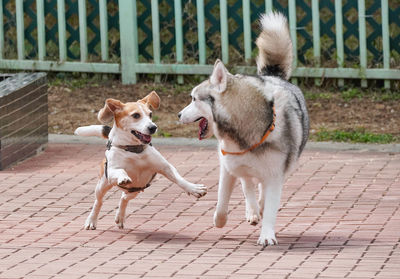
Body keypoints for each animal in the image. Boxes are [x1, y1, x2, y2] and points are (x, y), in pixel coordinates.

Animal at [74, 92, 209, 230]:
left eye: (150, 114)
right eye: (136, 115)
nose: (153, 127)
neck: (134, 150)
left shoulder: (165, 167)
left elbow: (179, 180)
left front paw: (194, 189)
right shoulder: (112, 171)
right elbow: (120, 171)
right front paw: (123, 177)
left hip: (136, 189)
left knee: (124, 198)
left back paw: (120, 217)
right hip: (102, 185)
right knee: (98, 202)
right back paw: (91, 220)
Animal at [178, 12, 310, 247]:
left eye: (193, 99)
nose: (178, 114)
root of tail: (274, 76)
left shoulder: (275, 174)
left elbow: (270, 206)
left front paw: (267, 235)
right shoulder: (228, 166)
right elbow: (222, 200)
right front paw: (220, 220)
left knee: (259, 190)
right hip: (239, 166)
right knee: (247, 184)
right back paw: (252, 210)